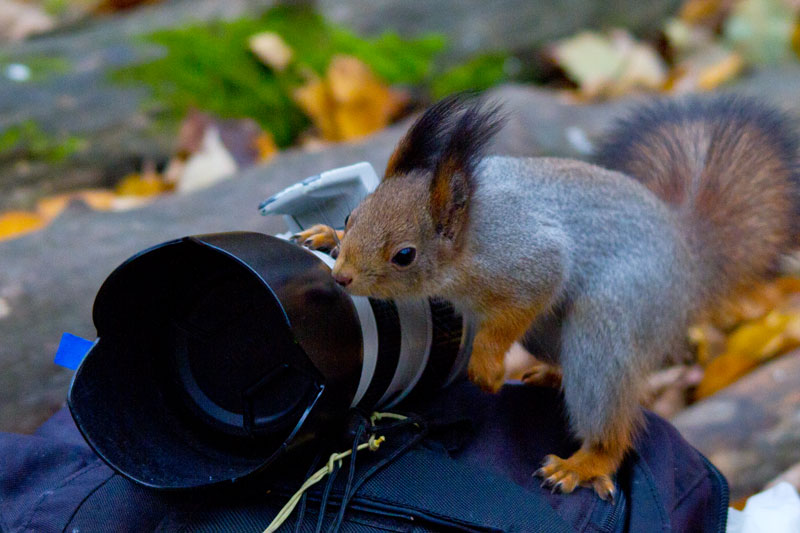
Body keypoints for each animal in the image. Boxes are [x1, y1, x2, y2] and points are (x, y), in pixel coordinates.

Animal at [292, 94, 800, 498]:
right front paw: (324, 235)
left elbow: (525, 298)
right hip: (546, 333)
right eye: (353, 214)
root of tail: (688, 259)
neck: (469, 236)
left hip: (615, 316)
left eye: (404, 255)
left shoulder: (527, 262)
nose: (342, 278)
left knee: (607, 401)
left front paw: (486, 366)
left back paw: (586, 463)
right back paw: (552, 377)